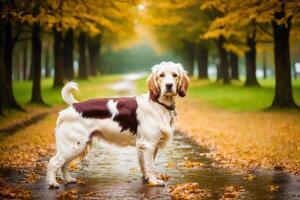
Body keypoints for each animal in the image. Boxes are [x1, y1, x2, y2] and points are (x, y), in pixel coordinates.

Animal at [46, 61, 189, 188]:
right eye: (161, 75)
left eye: (175, 75)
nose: (169, 85)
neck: (159, 105)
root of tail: (73, 106)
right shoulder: (148, 144)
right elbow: (150, 166)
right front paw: (154, 181)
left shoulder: (148, 145)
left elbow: (145, 165)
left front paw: (147, 178)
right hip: (74, 145)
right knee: (53, 162)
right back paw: (53, 183)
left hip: (76, 146)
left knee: (64, 164)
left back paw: (68, 179)